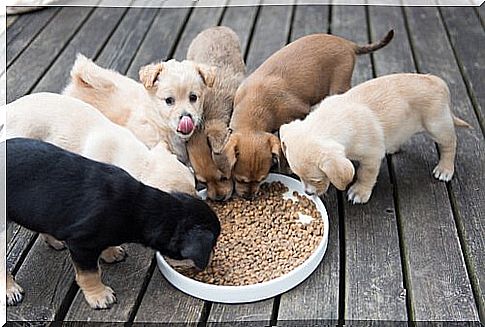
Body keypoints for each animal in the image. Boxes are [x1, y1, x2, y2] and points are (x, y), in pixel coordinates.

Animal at [4, 138, 220, 310]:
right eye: (212, 244)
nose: (210, 263)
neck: (137, 207)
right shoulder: (81, 245)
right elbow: (90, 274)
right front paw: (99, 296)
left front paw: (111, 252)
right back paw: (10, 290)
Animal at [222, 31, 394, 200]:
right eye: (238, 179)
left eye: (262, 179)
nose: (249, 198)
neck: (255, 106)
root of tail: (347, 43)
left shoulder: (297, 115)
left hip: (339, 84)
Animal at [278, 73, 470, 205]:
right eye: (297, 176)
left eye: (316, 180)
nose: (308, 193)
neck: (332, 120)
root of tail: (438, 81)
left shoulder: (371, 157)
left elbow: (365, 175)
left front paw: (359, 192)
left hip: (438, 126)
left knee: (450, 145)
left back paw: (445, 169)